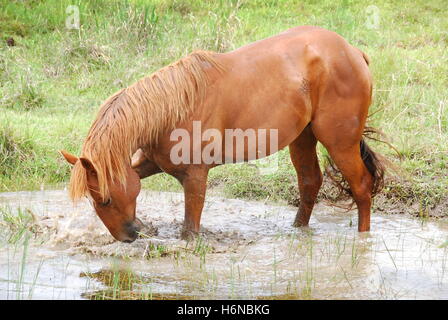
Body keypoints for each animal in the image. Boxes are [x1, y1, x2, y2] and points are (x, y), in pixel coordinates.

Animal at [61, 26, 384, 242]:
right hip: (302, 138)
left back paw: (363, 241)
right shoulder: (153, 162)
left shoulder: (195, 176)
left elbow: (190, 231)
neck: (173, 109)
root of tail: (353, 51)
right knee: (310, 182)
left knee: (361, 187)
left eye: (105, 200)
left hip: (339, 142)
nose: (127, 237)